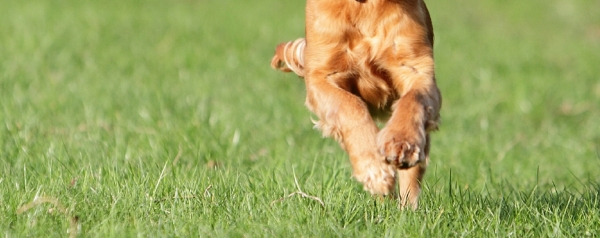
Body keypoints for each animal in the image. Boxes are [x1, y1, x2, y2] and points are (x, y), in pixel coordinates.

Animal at [272, 0, 440, 208]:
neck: (364, 6)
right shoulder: (322, 76)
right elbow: (350, 105)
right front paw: (375, 169)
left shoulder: (416, 68)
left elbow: (412, 99)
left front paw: (402, 143)